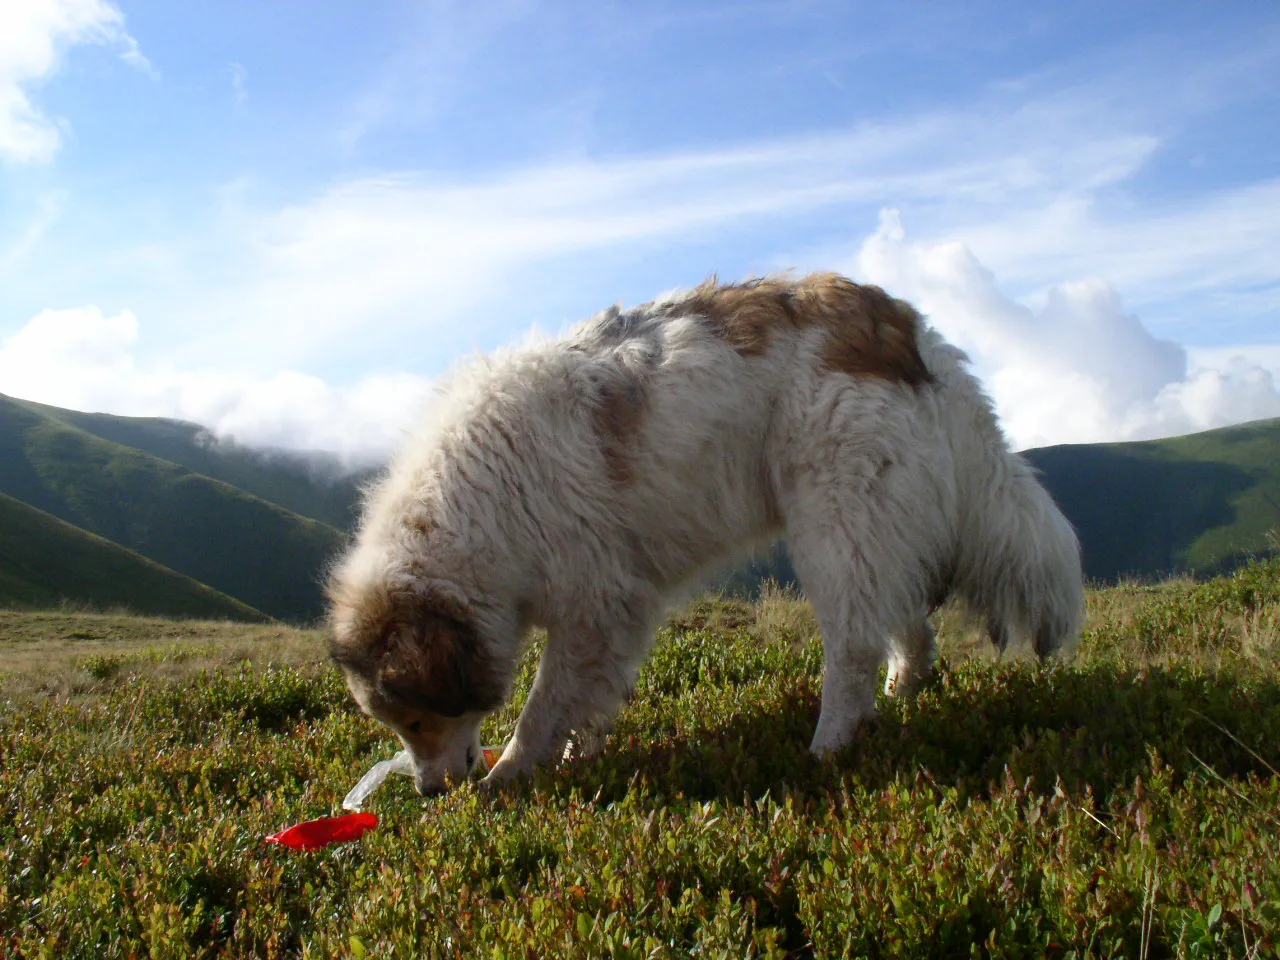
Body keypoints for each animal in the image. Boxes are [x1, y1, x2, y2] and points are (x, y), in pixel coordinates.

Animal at [327, 272, 1080, 798]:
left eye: (416, 719)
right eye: (398, 724)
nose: (430, 793)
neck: (478, 501)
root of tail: (904, 326)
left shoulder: (597, 604)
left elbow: (542, 707)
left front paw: (507, 778)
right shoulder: (603, 617)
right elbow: (583, 703)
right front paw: (574, 757)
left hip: (835, 522)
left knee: (854, 646)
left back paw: (827, 750)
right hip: (870, 525)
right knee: (904, 620)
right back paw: (900, 699)